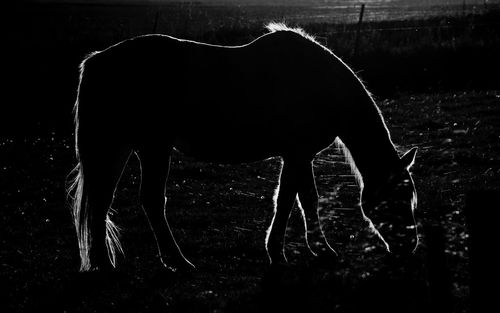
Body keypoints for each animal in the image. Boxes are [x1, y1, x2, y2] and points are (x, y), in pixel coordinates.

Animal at [66, 22, 418, 270]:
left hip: (122, 149)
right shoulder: (296, 155)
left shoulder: (299, 156)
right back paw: (176, 262)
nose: (410, 245)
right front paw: (282, 253)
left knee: (101, 204)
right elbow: (290, 200)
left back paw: (105, 263)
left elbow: (304, 200)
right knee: (148, 201)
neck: (319, 84)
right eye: (398, 197)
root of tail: (96, 61)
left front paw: (315, 250)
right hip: (152, 148)